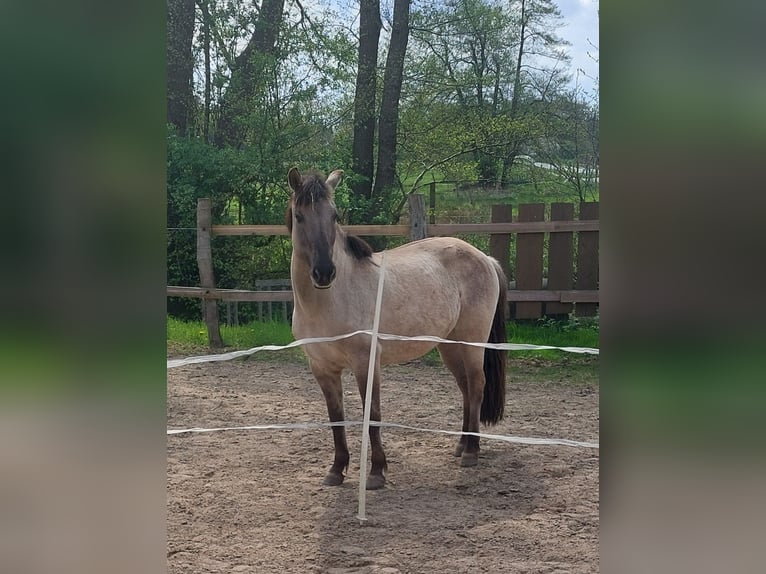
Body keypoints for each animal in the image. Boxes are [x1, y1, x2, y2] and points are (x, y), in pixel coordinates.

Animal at [284, 166, 508, 490]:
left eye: (334, 215)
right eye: (299, 216)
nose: (324, 272)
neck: (330, 299)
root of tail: (485, 258)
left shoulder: (366, 362)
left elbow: (373, 414)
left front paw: (377, 472)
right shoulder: (322, 368)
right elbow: (336, 417)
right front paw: (336, 470)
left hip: (472, 343)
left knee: (477, 385)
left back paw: (472, 452)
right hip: (449, 347)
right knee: (465, 388)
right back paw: (461, 445)